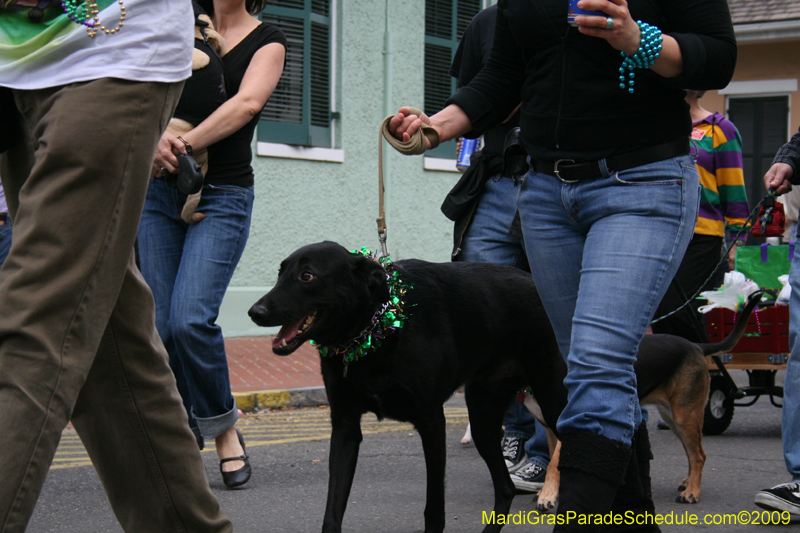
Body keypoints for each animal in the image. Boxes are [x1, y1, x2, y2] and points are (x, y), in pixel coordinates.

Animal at [247, 242, 564, 532]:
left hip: (552, 402)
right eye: (280, 273)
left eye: (307, 276)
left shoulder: (431, 423)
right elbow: (333, 510)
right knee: (505, 489)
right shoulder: (345, 428)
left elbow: (434, 510)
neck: (374, 330)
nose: (254, 312)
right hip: (483, 418)